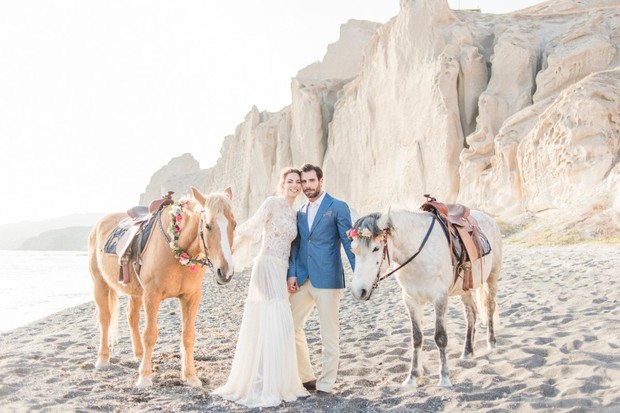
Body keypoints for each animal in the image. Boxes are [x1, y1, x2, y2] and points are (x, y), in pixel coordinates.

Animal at [86, 187, 234, 386]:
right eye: (208, 226)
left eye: (234, 224)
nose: (225, 272)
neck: (175, 248)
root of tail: (100, 224)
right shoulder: (152, 295)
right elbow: (150, 335)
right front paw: (145, 377)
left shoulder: (191, 297)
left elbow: (188, 335)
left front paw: (190, 376)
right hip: (100, 284)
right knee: (105, 319)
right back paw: (103, 359)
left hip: (135, 293)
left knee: (131, 317)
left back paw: (139, 355)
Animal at [348, 208, 504, 388]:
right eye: (353, 249)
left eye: (376, 248)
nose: (358, 291)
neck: (418, 254)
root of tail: (487, 217)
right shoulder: (411, 300)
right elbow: (417, 338)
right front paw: (413, 377)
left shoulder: (440, 299)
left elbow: (440, 337)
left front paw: (444, 378)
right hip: (465, 287)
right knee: (471, 314)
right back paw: (467, 351)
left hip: (492, 277)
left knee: (489, 308)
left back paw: (491, 343)